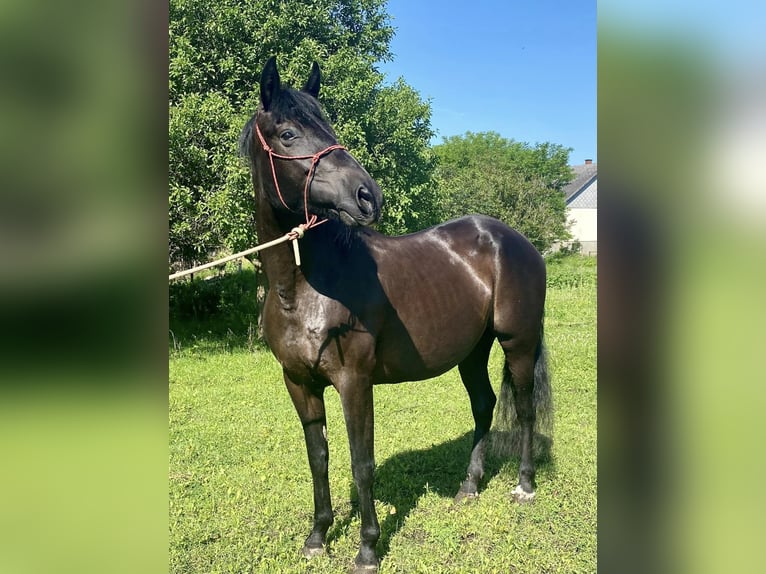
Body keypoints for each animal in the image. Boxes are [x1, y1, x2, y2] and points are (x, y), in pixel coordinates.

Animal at [242, 57, 552, 572]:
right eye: (288, 134)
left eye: (328, 125)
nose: (369, 195)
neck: (304, 288)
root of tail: (514, 240)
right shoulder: (299, 383)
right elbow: (318, 458)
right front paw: (318, 536)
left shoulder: (354, 382)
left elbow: (361, 462)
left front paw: (367, 548)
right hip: (472, 351)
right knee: (484, 404)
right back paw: (469, 486)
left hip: (518, 343)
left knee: (524, 409)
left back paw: (524, 486)